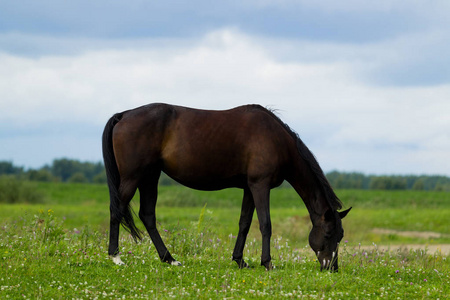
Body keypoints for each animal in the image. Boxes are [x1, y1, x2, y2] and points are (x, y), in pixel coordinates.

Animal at [102, 102, 352, 270]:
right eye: (328, 233)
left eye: (341, 235)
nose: (332, 267)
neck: (276, 139)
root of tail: (123, 115)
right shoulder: (260, 186)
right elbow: (265, 224)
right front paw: (267, 263)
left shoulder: (249, 188)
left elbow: (244, 223)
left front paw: (240, 260)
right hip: (133, 177)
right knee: (116, 210)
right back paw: (116, 257)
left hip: (150, 177)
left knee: (147, 215)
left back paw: (169, 259)